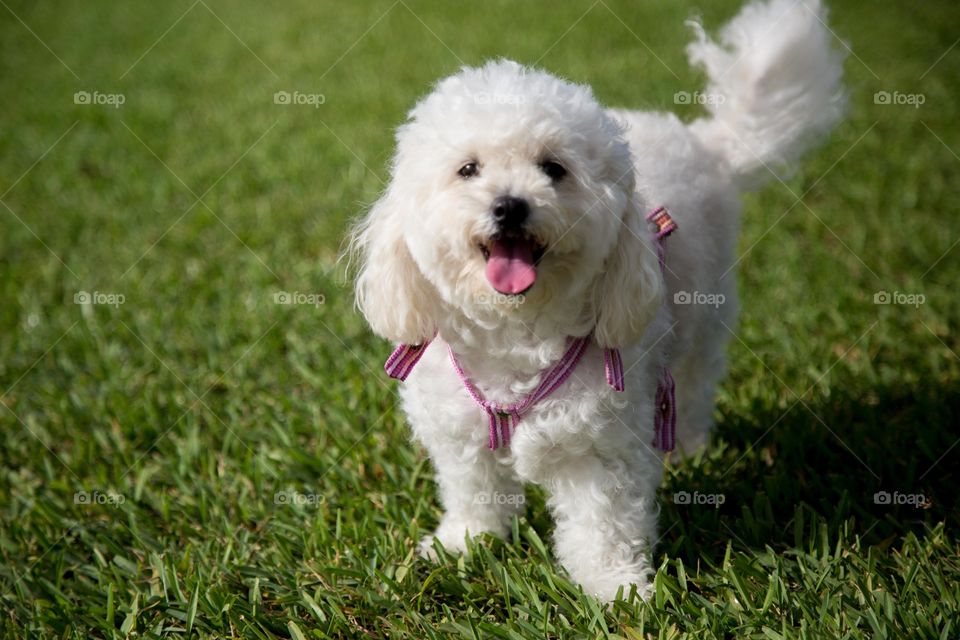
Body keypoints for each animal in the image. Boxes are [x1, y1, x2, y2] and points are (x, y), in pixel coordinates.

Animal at [350, 0, 840, 600]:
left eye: (553, 168)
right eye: (468, 169)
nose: (509, 205)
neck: (515, 335)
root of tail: (706, 140)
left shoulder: (600, 447)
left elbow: (602, 523)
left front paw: (617, 588)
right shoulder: (461, 431)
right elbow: (473, 490)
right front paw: (463, 544)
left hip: (704, 322)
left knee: (693, 388)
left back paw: (689, 449)